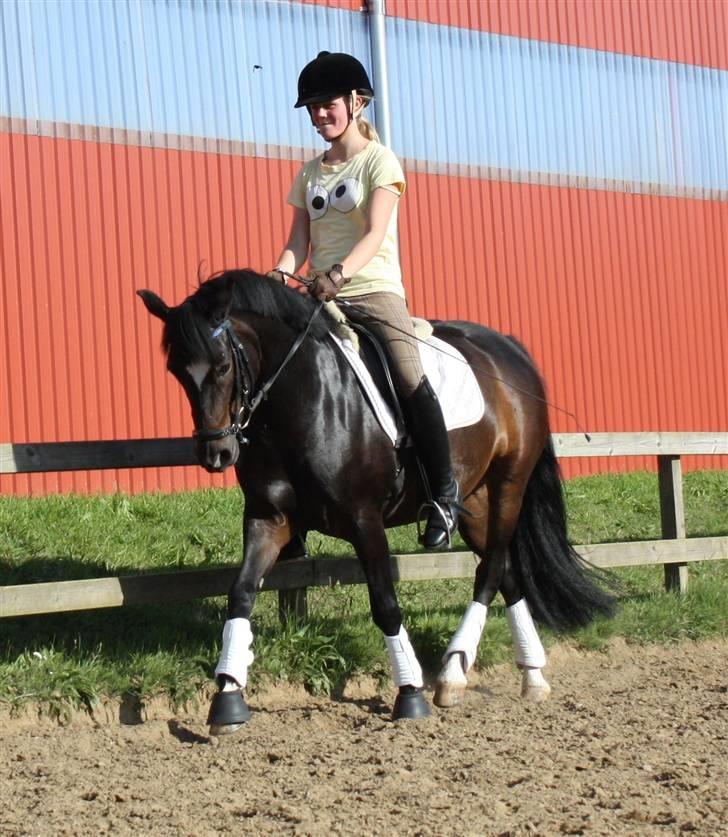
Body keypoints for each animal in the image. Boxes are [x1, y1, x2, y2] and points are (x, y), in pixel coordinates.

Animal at [138, 269, 615, 733]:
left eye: (221, 366)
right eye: (177, 371)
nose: (216, 454)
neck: (302, 398)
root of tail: (509, 348)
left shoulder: (364, 520)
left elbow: (385, 603)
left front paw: (410, 695)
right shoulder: (267, 519)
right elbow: (240, 594)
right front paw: (227, 697)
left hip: (509, 484)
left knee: (493, 567)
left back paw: (452, 674)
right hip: (476, 497)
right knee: (506, 572)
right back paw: (528, 675)